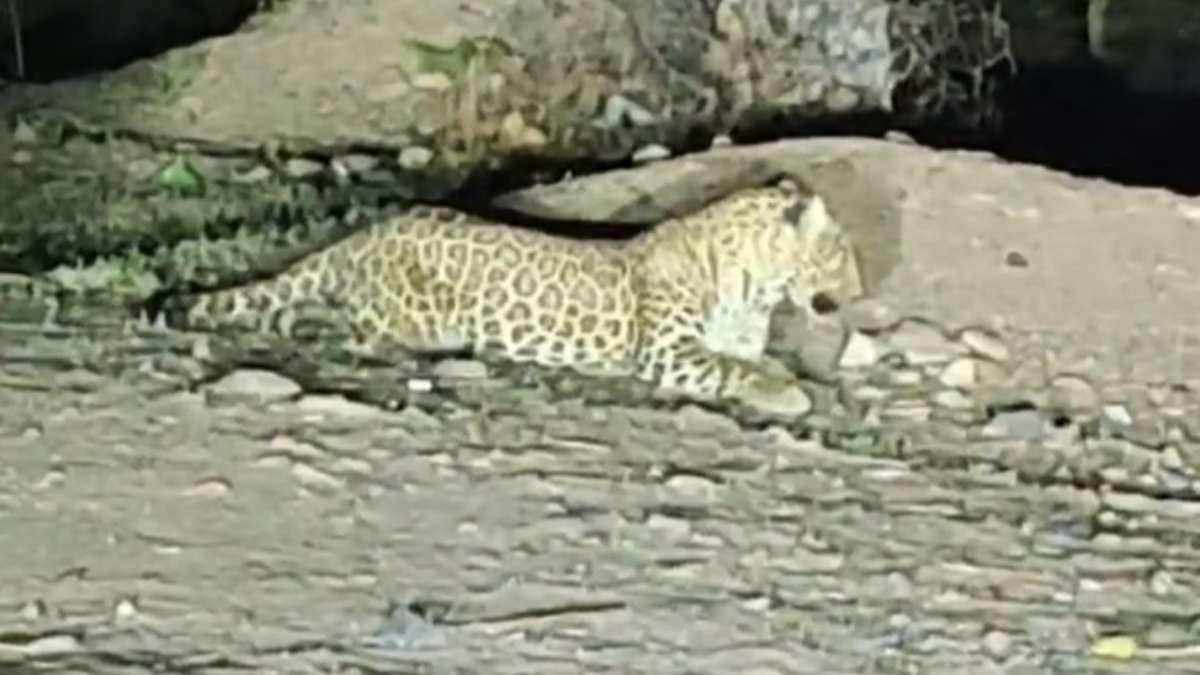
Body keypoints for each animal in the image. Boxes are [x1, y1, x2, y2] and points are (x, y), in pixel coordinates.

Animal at [159, 175, 865, 417]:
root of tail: (364, 234)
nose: (859, 290)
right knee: (334, 320)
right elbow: (731, 368)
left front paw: (792, 378)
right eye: (841, 251)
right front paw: (786, 392)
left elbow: (751, 359)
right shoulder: (667, 352)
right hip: (407, 315)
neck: (756, 286)